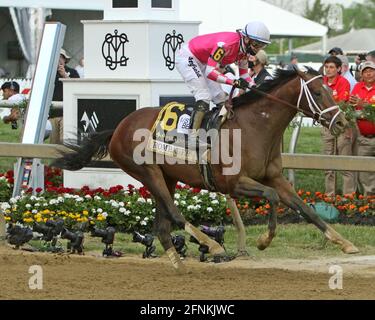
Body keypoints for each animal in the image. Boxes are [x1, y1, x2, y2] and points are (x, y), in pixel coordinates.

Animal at [54, 67, 360, 270]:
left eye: (332, 89)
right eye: (318, 92)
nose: (342, 122)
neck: (255, 127)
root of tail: (118, 127)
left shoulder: (274, 177)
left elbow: (305, 208)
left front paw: (345, 243)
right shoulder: (233, 183)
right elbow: (272, 197)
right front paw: (263, 240)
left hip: (166, 177)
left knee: (162, 226)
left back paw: (179, 265)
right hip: (147, 172)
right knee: (174, 215)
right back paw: (211, 245)